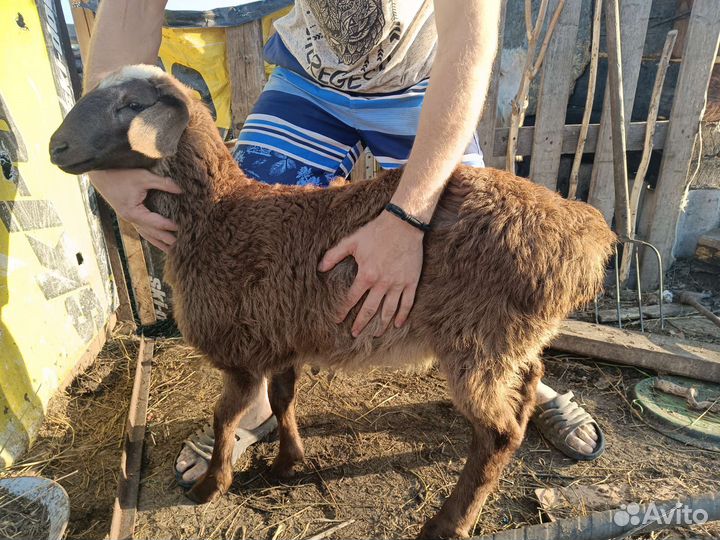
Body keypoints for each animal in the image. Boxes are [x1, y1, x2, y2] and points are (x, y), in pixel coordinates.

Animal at [49, 65, 615, 540]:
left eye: (130, 105)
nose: (56, 145)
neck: (215, 215)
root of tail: (583, 236)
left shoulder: (241, 355)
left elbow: (223, 417)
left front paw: (211, 486)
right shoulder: (280, 341)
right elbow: (282, 401)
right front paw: (287, 462)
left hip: (475, 338)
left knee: (497, 435)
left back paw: (449, 523)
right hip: (509, 340)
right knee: (528, 380)